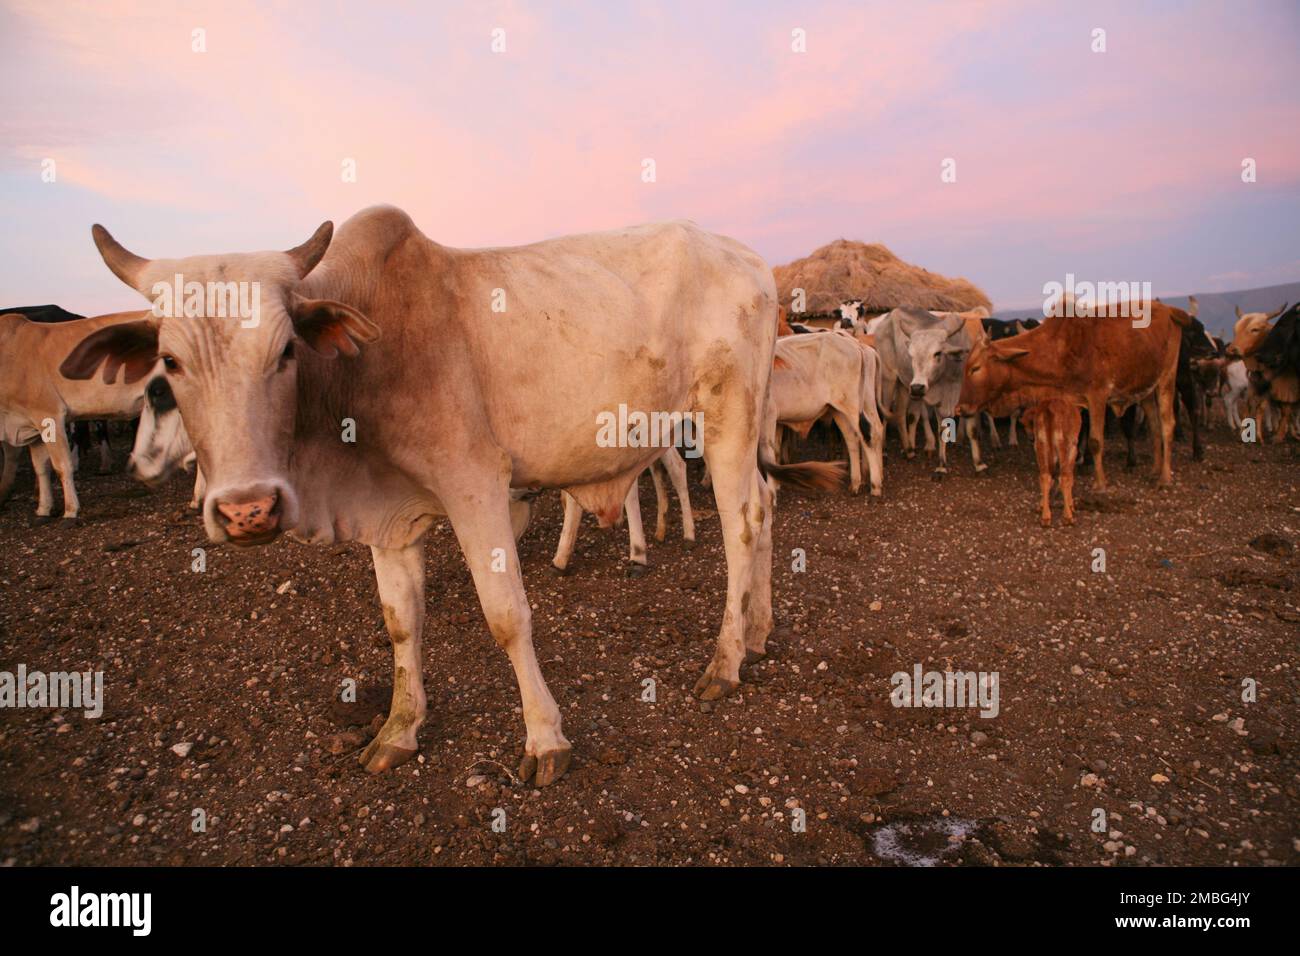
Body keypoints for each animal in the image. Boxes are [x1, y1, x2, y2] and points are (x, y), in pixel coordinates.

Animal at [0, 310, 148, 520]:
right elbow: (41, 468)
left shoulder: (50, 415)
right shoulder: (32, 426)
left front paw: (70, 510)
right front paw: (43, 509)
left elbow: (62, 465)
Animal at [63, 208, 842, 785]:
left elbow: (506, 617)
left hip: (727, 417)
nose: (246, 508)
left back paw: (725, 661)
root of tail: (750, 260)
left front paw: (545, 739)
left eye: (285, 351)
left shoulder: (476, 489)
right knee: (765, 509)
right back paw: (759, 632)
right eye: (169, 363)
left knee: (743, 524)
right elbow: (401, 622)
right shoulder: (391, 521)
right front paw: (398, 729)